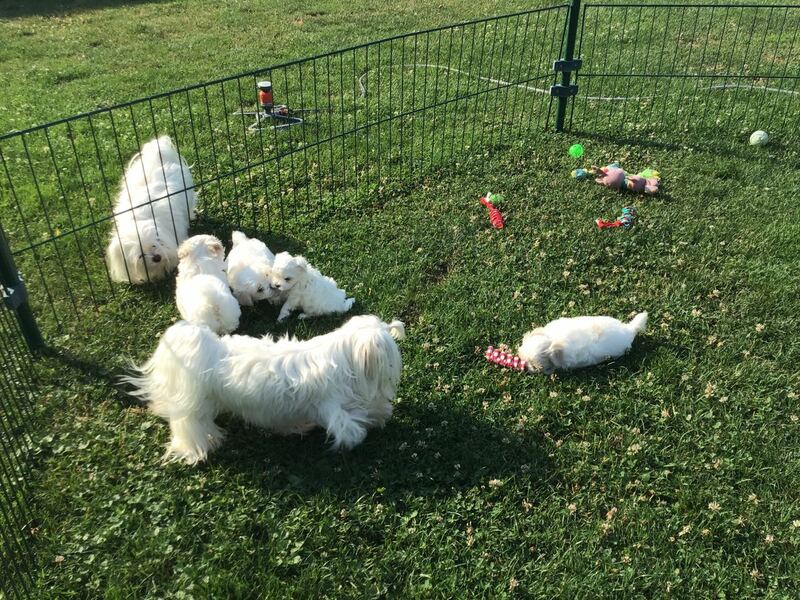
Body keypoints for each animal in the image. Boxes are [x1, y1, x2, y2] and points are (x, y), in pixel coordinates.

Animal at [125, 315, 406, 464]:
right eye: (391, 359)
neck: (343, 356)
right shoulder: (331, 406)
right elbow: (350, 428)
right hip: (195, 411)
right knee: (189, 426)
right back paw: (199, 448)